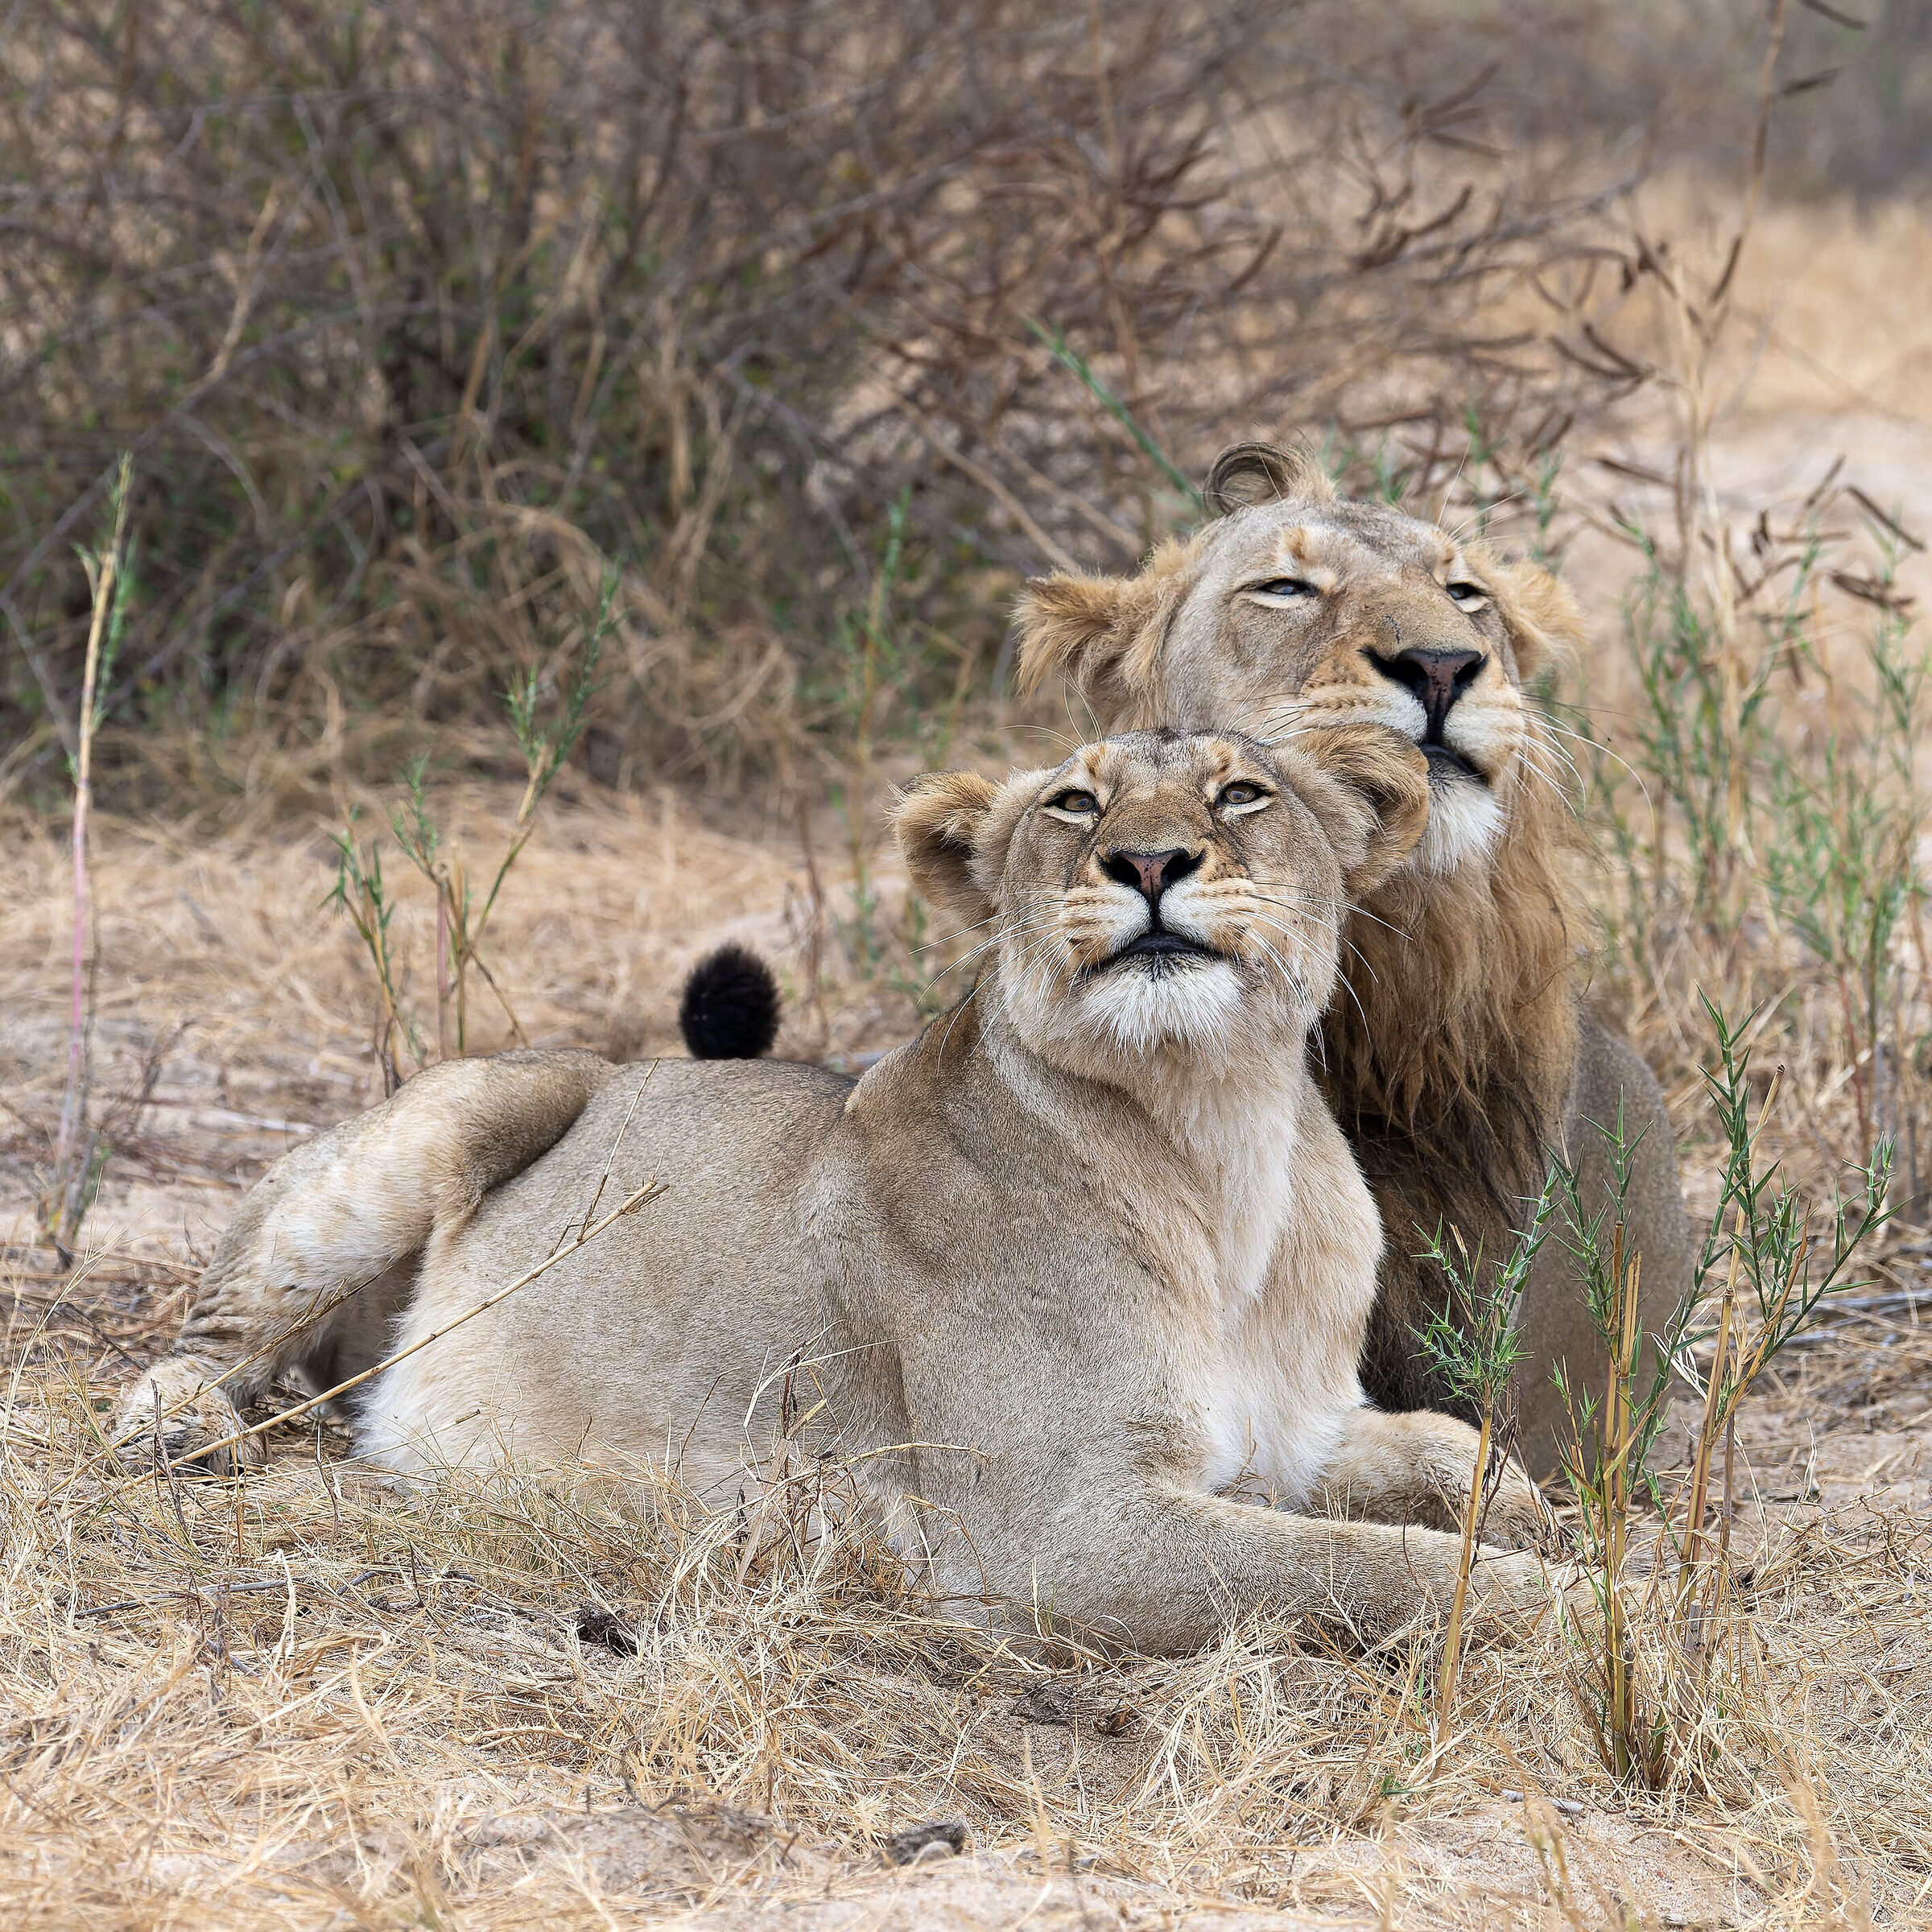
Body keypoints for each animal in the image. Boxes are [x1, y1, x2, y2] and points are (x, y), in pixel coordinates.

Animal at [117, 727, 1559, 1653]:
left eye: (1244, 792)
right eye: (1073, 805)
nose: (1149, 864)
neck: (1220, 1131)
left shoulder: (1296, 1432)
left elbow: (1456, 1449)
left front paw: (1559, 1526)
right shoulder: (1056, 1528)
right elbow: (1367, 1569)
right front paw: (1581, 1607)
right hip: (460, 1111)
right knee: (201, 1330)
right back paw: (183, 1431)